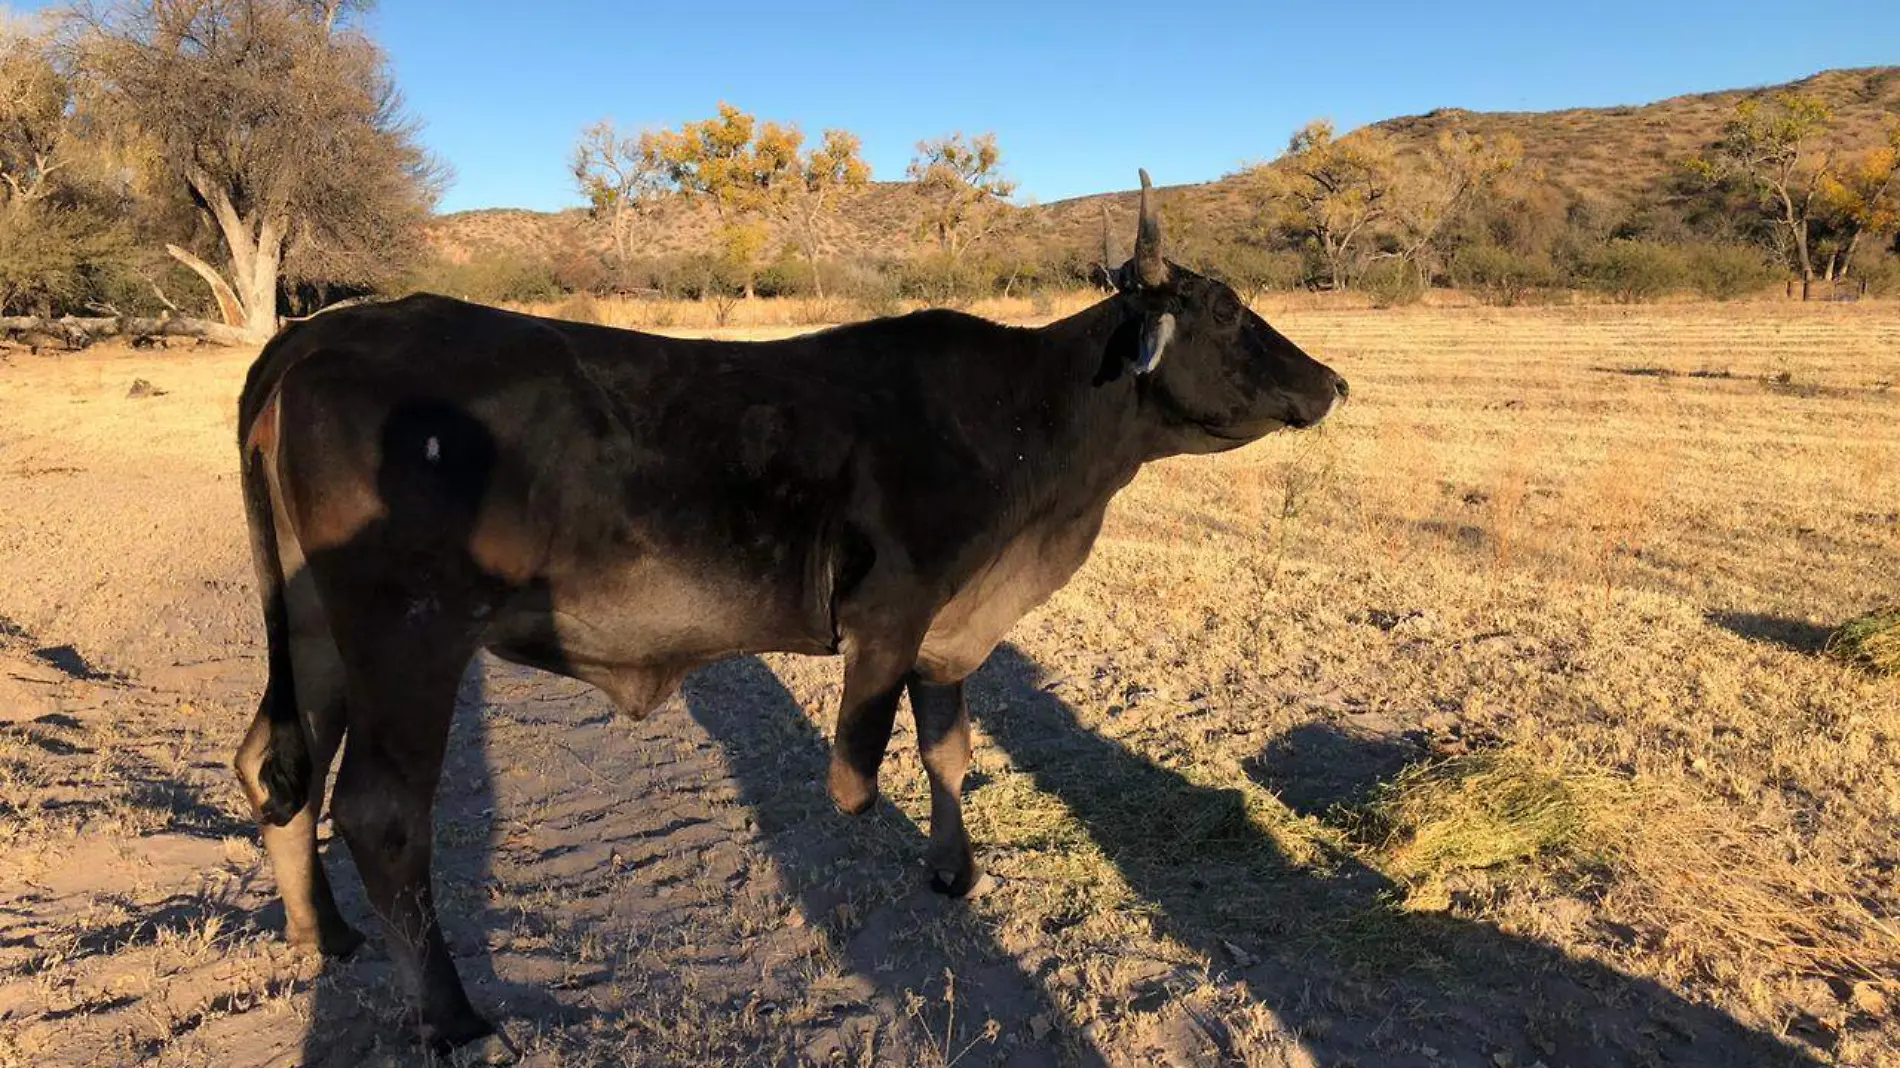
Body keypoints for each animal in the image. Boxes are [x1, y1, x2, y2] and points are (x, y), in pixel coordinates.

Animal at [226, 176, 1352, 1048]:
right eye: (1224, 312)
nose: (1334, 381)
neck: (1028, 436)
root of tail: (319, 335)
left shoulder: (950, 639)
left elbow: (949, 752)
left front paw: (953, 871)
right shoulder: (893, 619)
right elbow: (857, 782)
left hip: (316, 631)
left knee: (275, 764)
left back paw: (325, 936)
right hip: (409, 640)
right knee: (381, 812)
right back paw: (452, 1015)